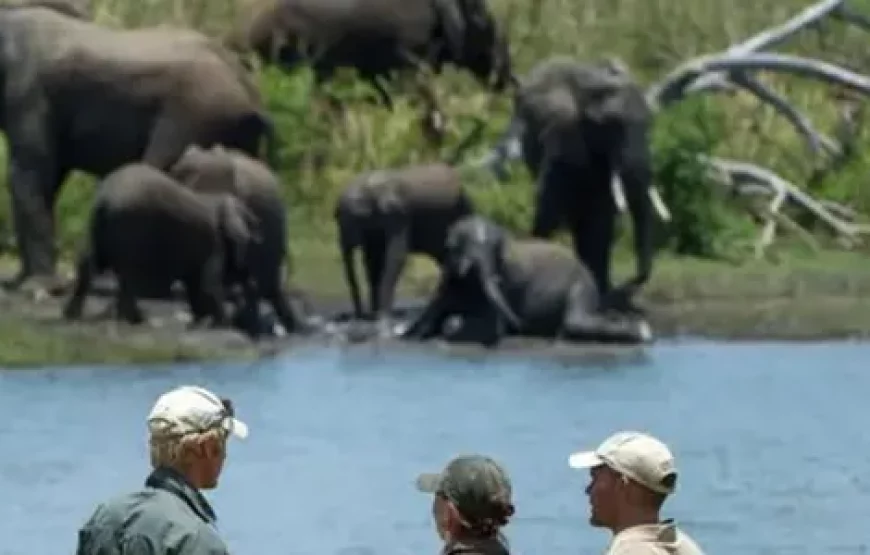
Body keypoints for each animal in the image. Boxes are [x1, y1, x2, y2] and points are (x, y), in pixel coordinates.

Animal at [0, 4, 276, 298]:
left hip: (198, 114)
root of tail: (250, 89)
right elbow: (45, 178)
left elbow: (31, 171)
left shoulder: (28, 93)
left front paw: (38, 287)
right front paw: (20, 282)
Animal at [63, 163, 264, 336]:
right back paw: (135, 320)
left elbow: (196, 284)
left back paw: (72, 315)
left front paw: (199, 322)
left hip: (97, 227)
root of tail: (104, 199)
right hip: (131, 226)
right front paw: (221, 325)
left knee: (89, 262)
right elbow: (209, 283)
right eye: (251, 225)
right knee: (127, 274)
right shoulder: (215, 243)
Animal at [402, 214, 656, 348]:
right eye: (460, 248)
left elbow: (488, 327)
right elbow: (431, 316)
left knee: (576, 321)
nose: (519, 326)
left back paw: (639, 331)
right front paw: (410, 334)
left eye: (497, 252)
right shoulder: (449, 277)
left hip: (581, 285)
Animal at [480, 57, 672, 318]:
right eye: (611, 126)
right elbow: (551, 206)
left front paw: (603, 297)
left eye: (649, 125)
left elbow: (600, 223)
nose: (629, 286)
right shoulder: (563, 132)